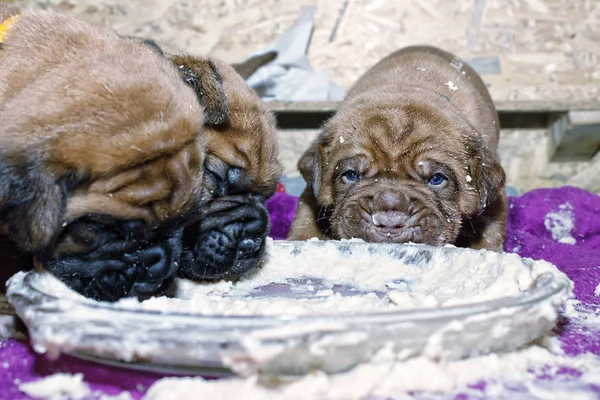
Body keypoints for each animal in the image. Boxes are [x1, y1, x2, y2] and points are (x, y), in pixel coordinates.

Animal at [288, 46, 508, 250]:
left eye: (436, 179)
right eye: (350, 175)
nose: (389, 220)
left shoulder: (494, 203)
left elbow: (489, 232)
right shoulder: (312, 191)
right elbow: (306, 217)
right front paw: (302, 239)